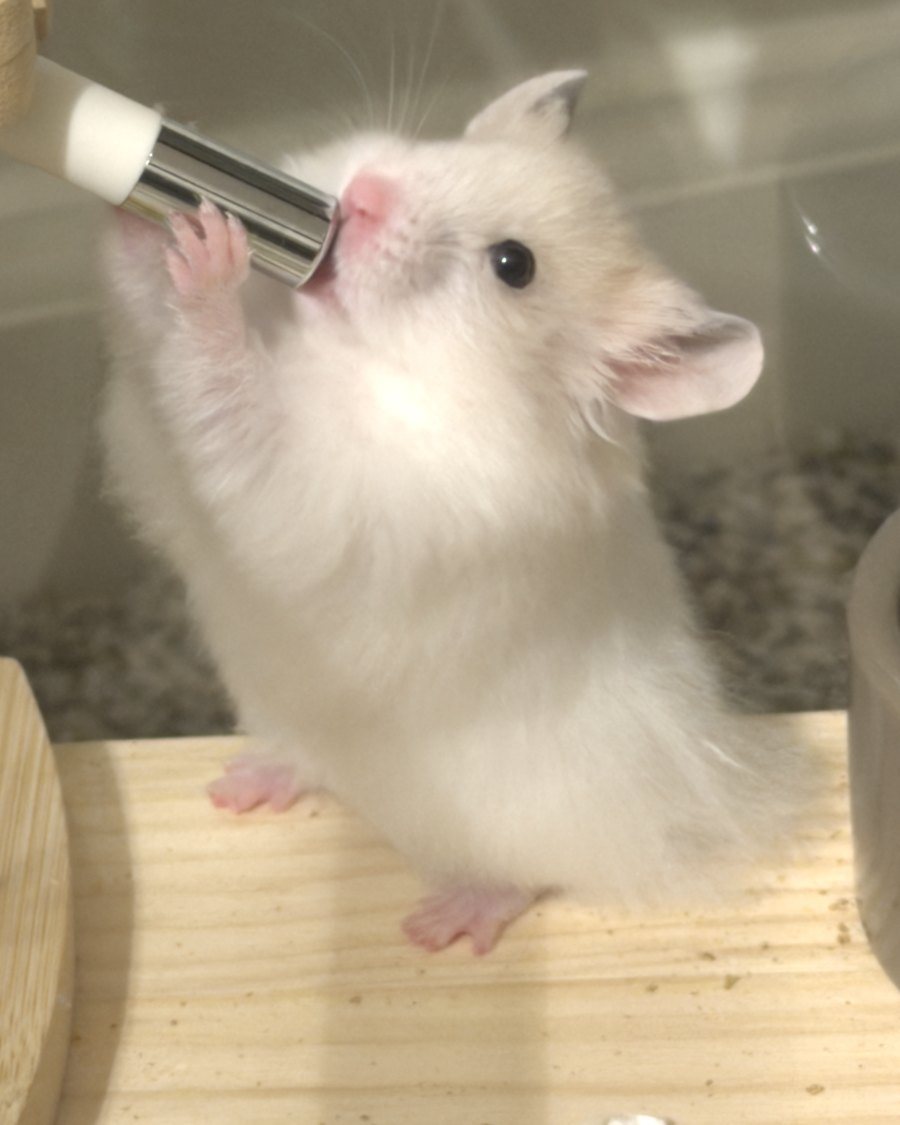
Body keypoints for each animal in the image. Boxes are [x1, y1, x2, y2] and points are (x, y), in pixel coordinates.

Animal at [101, 71, 806, 954]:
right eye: (448, 150)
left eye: (514, 265)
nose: (364, 194)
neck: (370, 357)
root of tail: (711, 801)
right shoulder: (162, 433)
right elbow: (150, 334)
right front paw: (155, 177)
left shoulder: (309, 488)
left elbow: (226, 388)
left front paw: (210, 253)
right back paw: (241, 785)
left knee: (535, 877)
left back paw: (441, 924)